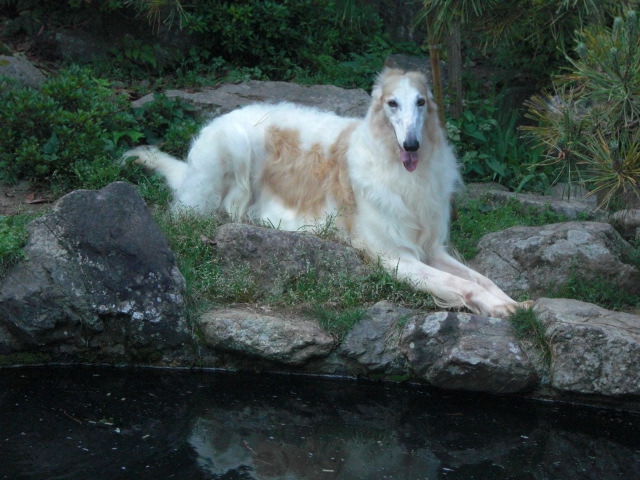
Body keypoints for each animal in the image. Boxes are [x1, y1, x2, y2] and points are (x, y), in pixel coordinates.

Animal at [125, 66, 520, 316]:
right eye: (392, 103)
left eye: (421, 102)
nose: (412, 145)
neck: (404, 172)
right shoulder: (393, 256)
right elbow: (462, 285)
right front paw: (500, 308)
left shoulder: (430, 247)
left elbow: (482, 278)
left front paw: (516, 303)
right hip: (231, 151)